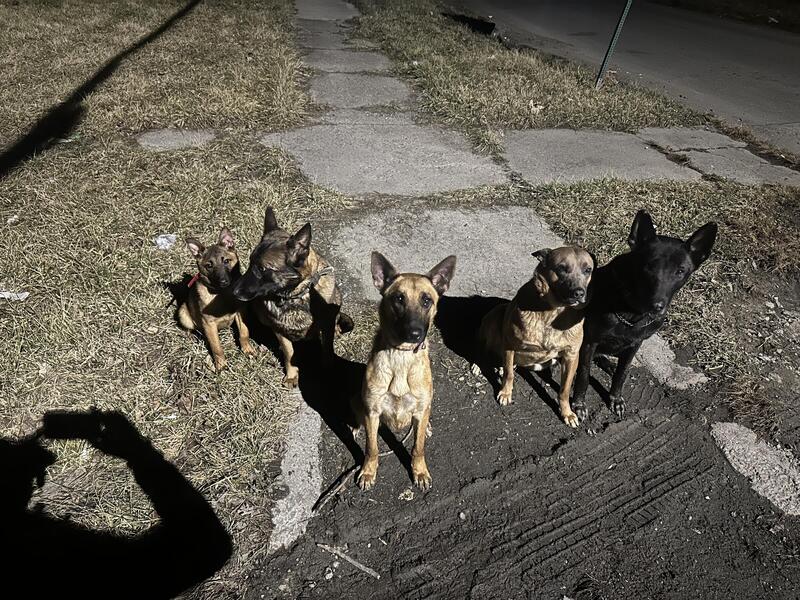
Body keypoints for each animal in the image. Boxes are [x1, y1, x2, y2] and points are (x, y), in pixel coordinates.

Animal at [177, 227, 253, 371]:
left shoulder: (240, 312)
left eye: (226, 261)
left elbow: (244, 332)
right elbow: (216, 347)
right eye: (209, 266)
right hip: (183, 312)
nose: (223, 282)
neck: (223, 294)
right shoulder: (209, 324)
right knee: (190, 329)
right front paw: (221, 365)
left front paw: (248, 350)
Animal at [232, 207, 350, 387]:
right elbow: (289, 353)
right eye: (250, 262)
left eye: (262, 269)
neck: (297, 296)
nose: (234, 292)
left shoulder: (326, 326)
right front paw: (292, 375)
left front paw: (328, 369)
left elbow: (327, 350)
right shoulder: (280, 331)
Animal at [355, 251, 456, 491]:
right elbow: (372, 448)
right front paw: (368, 471)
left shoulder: (419, 410)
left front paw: (419, 471)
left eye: (426, 300)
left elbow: (417, 448)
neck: (401, 357)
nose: (415, 333)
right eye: (399, 299)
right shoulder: (372, 412)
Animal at [472, 246, 593, 428]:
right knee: (484, 348)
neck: (553, 313)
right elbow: (509, 374)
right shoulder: (510, 345)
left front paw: (567, 412)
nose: (579, 293)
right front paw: (505, 393)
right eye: (561, 269)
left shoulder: (571, 356)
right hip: (496, 315)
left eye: (588, 270)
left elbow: (564, 390)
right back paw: (480, 364)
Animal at [572, 210, 717, 420]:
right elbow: (584, 374)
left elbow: (622, 373)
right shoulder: (590, 341)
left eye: (680, 271)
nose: (657, 307)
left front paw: (615, 398)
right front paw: (579, 403)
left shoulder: (634, 345)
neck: (631, 312)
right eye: (650, 266)